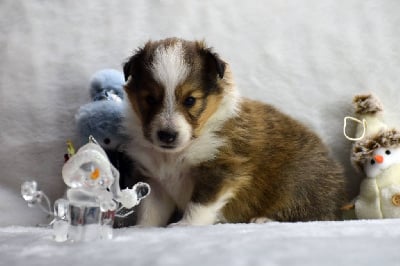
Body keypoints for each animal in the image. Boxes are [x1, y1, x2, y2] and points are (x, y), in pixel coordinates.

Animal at [122, 38, 346, 227]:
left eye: (190, 100)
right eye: (150, 99)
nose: (167, 135)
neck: (176, 153)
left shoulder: (221, 167)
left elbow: (200, 204)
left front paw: (184, 225)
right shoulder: (155, 180)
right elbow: (150, 209)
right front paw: (142, 229)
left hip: (298, 186)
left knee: (310, 215)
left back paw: (263, 220)